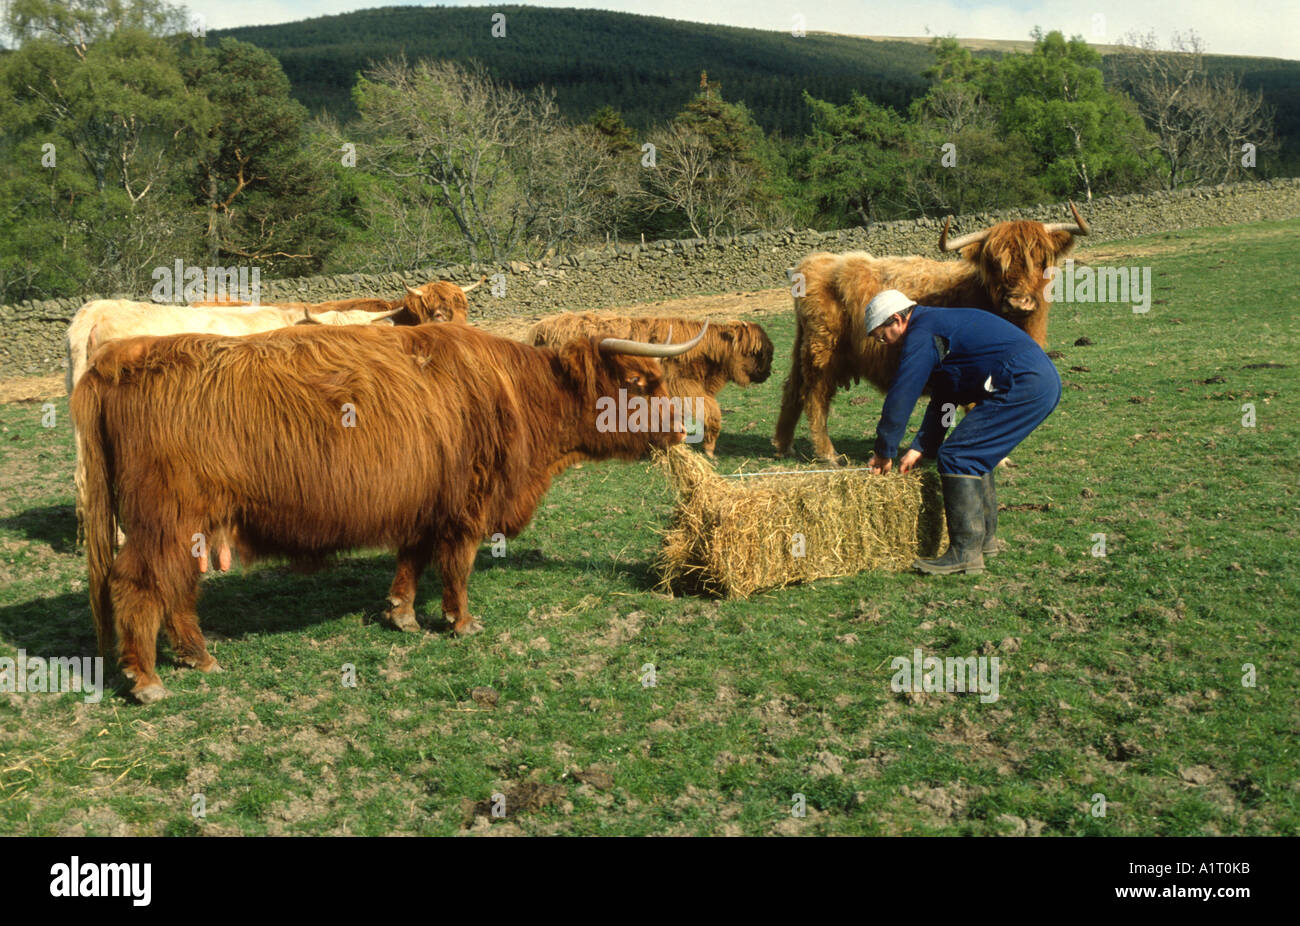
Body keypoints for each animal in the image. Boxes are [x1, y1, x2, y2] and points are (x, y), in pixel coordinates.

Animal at [71, 321, 706, 703]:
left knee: (176, 589)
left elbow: (413, 559)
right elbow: (456, 566)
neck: (519, 396)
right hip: (165, 519)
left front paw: (401, 614)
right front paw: (461, 622)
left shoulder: (425, 503)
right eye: (640, 381)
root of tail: (118, 358)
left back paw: (199, 658)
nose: (682, 428)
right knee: (138, 583)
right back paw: (147, 678)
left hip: (191, 527)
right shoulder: (466, 505)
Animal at [528, 314, 773, 457]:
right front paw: (710, 450)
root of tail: (541, 329)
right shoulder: (682, 387)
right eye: (756, 352)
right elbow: (712, 412)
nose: (768, 373)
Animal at [773, 203, 1090, 463]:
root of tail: (814, 262)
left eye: (1041, 260)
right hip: (823, 350)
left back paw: (784, 446)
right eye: (995, 263)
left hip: (804, 345)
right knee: (815, 395)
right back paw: (828, 454)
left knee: (792, 389)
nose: (1018, 301)